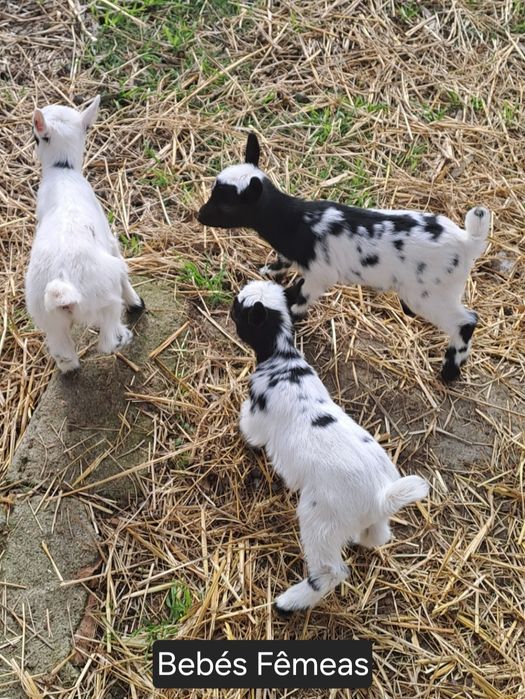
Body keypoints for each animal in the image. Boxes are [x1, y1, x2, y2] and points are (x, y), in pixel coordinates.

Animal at [25, 96, 144, 373]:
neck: (63, 171)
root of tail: (63, 287)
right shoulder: (110, 240)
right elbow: (123, 268)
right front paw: (136, 302)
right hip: (104, 298)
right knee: (108, 338)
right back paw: (124, 337)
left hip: (49, 320)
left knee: (64, 355)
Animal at [198, 133, 490, 382]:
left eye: (227, 205)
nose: (200, 215)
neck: (296, 222)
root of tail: (467, 242)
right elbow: (286, 266)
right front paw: (271, 271)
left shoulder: (320, 275)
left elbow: (302, 295)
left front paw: (292, 313)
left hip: (430, 295)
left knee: (466, 321)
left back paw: (450, 370)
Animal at [231, 279, 429, 613]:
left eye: (239, 309)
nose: (230, 308)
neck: (283, 361)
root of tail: (379, 497)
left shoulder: (259, 415)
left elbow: (250, 429)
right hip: (372, 517)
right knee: (379, 535)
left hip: (321, 521)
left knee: (330, 571)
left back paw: (289, 602)